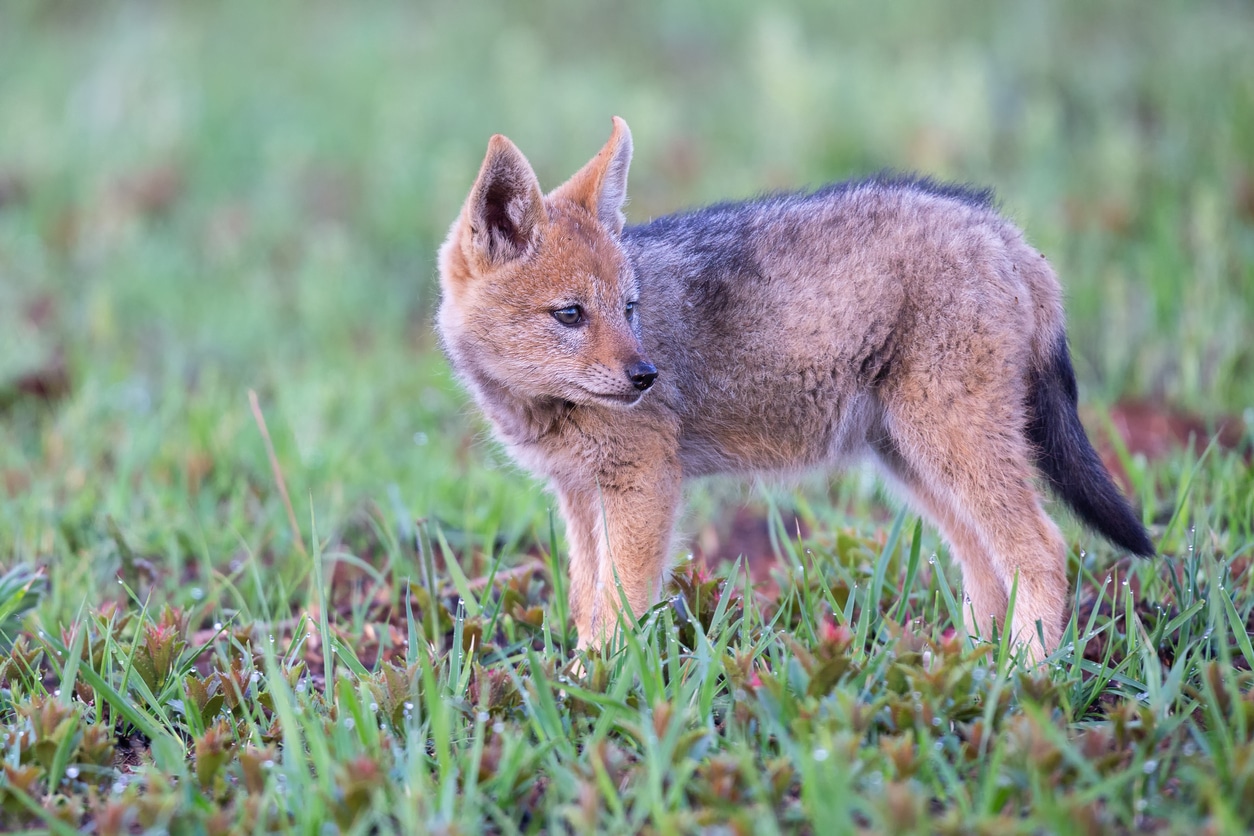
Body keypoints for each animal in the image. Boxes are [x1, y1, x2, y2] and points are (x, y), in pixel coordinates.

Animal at [436, 116, 1155, 659]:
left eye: (629, 309)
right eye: (571, 315)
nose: (645, 376)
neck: (540, 411)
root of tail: (1004, 231)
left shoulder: (642, 485)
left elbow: (618, 608)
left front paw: (599, 691)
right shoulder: (582, 497)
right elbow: (589, 601)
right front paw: (577, 685)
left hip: (953, 450)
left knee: (1045, 549)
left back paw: (1024, 676)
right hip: (918, 465)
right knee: (986, 567)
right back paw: (966, 668)